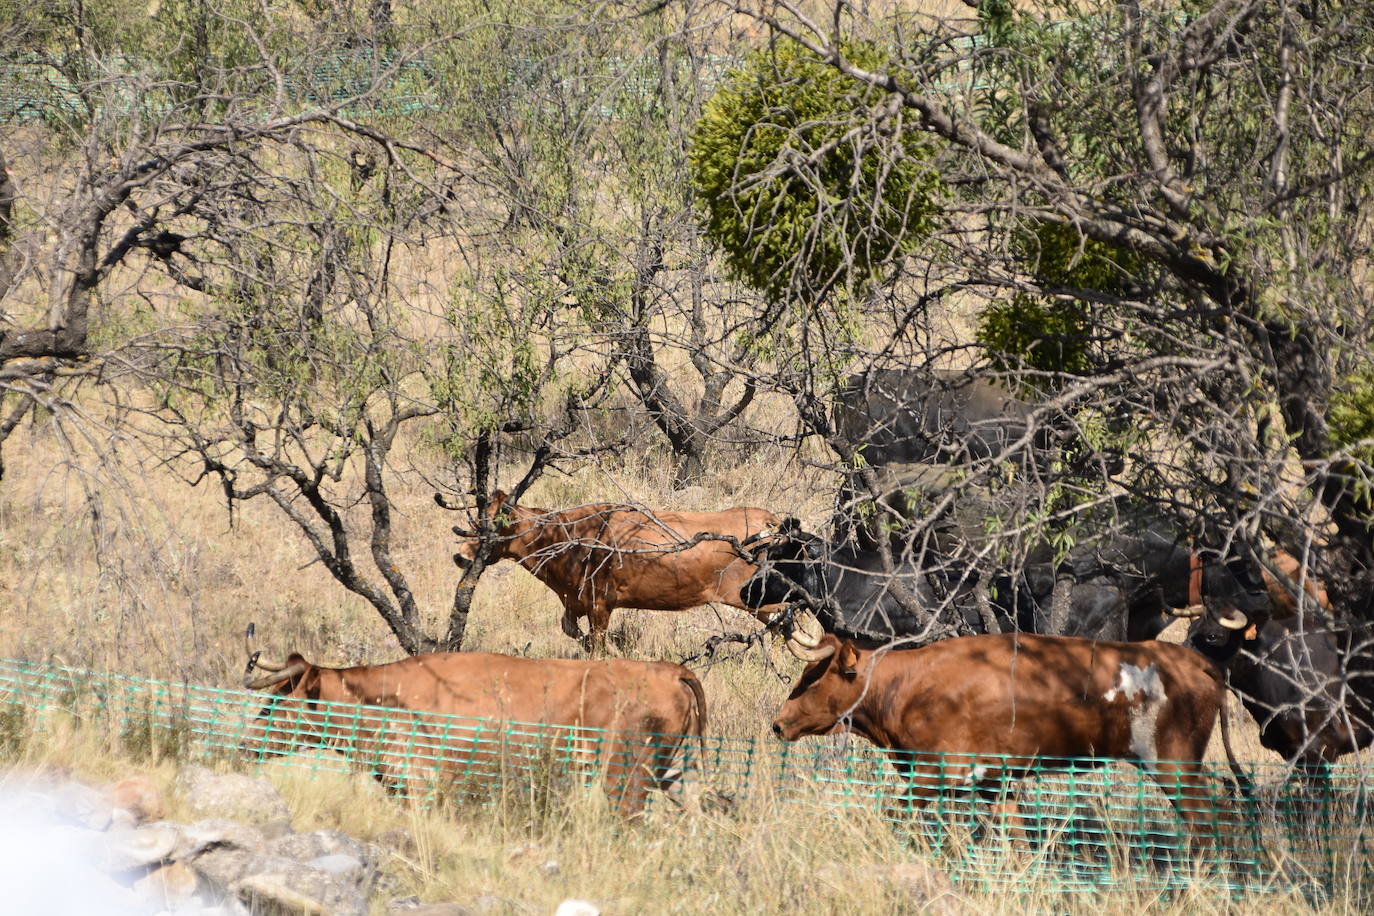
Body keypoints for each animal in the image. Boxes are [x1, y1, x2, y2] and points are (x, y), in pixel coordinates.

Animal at [241, 631, 708, 818]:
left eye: (274, 702)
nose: (244, 744)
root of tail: (670, 670)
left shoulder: (424, 787)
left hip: (625, 778)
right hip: (667, 775)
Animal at [453, 491, 785, 648]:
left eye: (492, 524)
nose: (460, 556)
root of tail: (769, 519)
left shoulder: (600, 603)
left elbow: (597, 643)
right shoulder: (575, 603)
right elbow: (574, 631)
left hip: (759, 599)